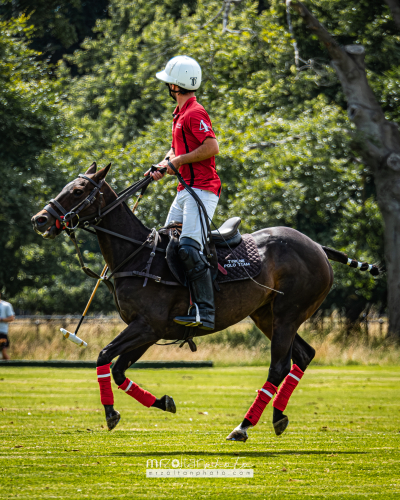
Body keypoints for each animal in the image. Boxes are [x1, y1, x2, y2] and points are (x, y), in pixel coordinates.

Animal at [32, 162, 382, 440]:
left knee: (279, 365)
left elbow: (104, 355)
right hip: (266, 314)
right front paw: (163, 402)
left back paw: (243, 426)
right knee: (304, 355)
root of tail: (319, 247)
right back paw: (277, 416)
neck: (137, 254)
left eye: (78, 190)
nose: (40, 220)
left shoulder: (147, 326)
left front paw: (110, 413)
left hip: (288, 313)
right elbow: (118, 369)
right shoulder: (149, 331)